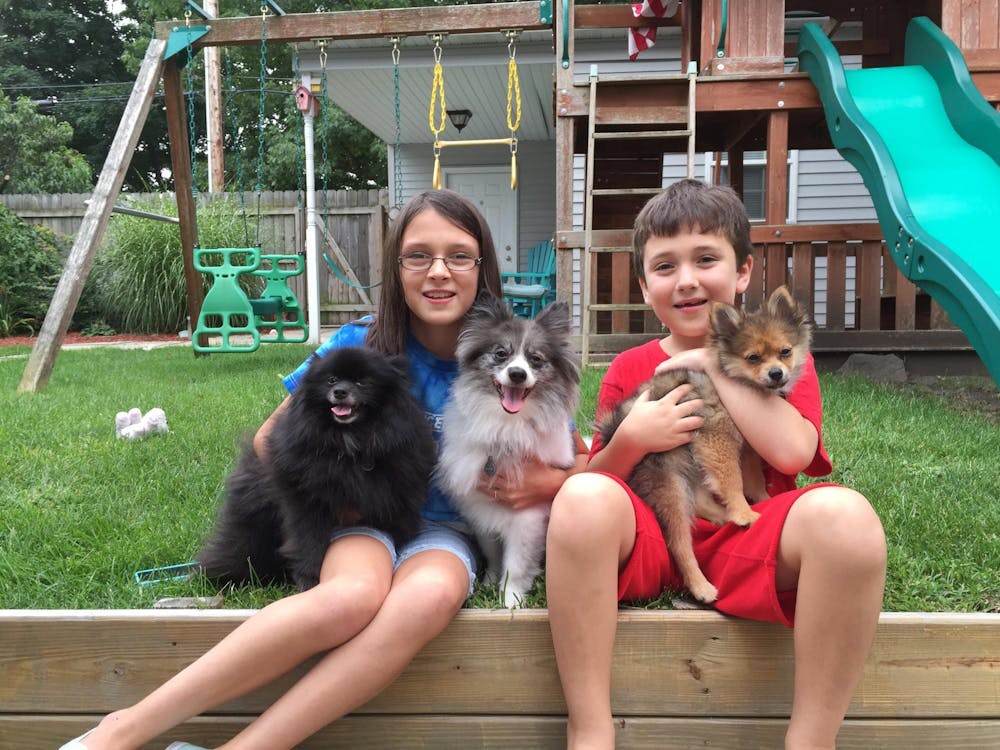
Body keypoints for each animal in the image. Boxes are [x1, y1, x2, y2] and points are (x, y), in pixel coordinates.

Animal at [199, 346, 438, 592]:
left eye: (362, 382)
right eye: (331, 380)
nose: (340, 391)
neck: (349, 441)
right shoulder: (306, 501)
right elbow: (308, 542)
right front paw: (309, 578)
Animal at [438, 296, 580, 612]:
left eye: (535, 359)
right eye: (501, 354)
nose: (517, 374)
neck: (507, 426)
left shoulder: (527, 518)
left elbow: (515, 564)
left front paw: (511, 599)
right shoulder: (482, 509)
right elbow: (492, 553)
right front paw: (490, 582)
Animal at [596, 286, 808, 604]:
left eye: (785, 351)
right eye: (753, 358)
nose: (776, 374)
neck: (738, 385)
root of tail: (613, 431)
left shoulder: (745, 446)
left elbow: (753, 478)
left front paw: (761, 500)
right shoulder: (717, 437)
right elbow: (732, 480)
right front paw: (744, 512)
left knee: (700, 501)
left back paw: (722, 517)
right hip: (669, 484)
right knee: (680, 543)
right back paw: (702, 586)